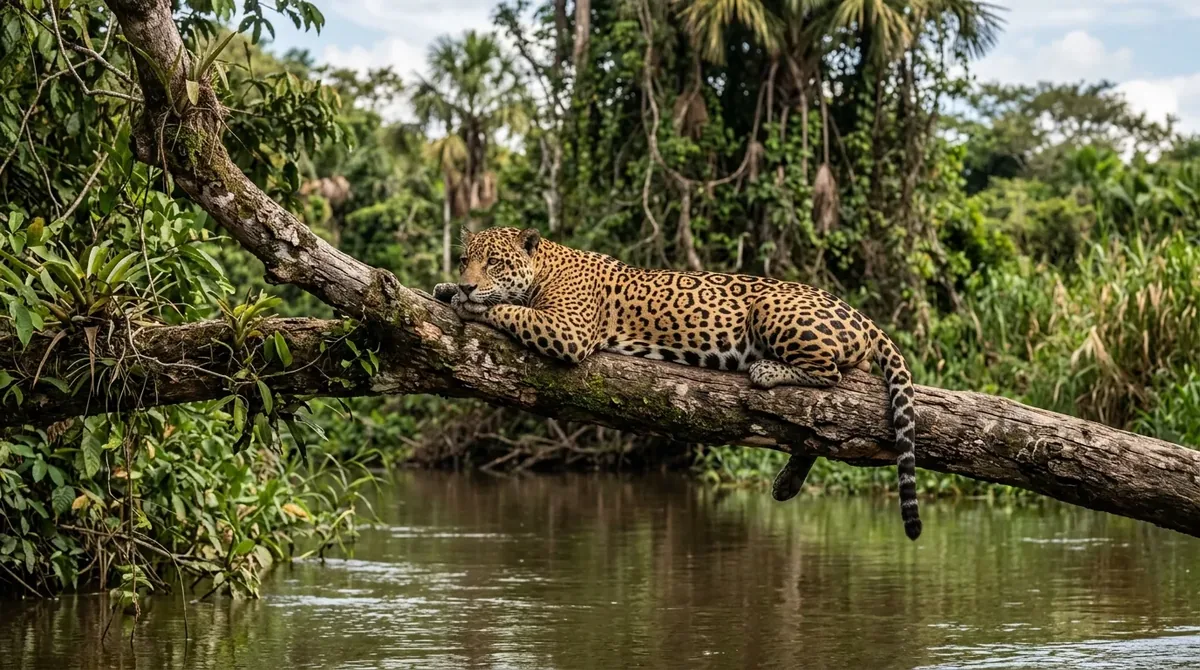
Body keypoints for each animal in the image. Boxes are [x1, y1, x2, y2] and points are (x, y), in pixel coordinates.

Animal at [434, 226, 921, 540]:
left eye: (494, 262)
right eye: (464, 260)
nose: (465, 282)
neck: (547, 266)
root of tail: (859, 313)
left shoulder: (568, 330)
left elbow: (508, 309)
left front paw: (471, 302)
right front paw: (445, 288)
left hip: (772, 308)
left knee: (831, 374)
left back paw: (766, 369)